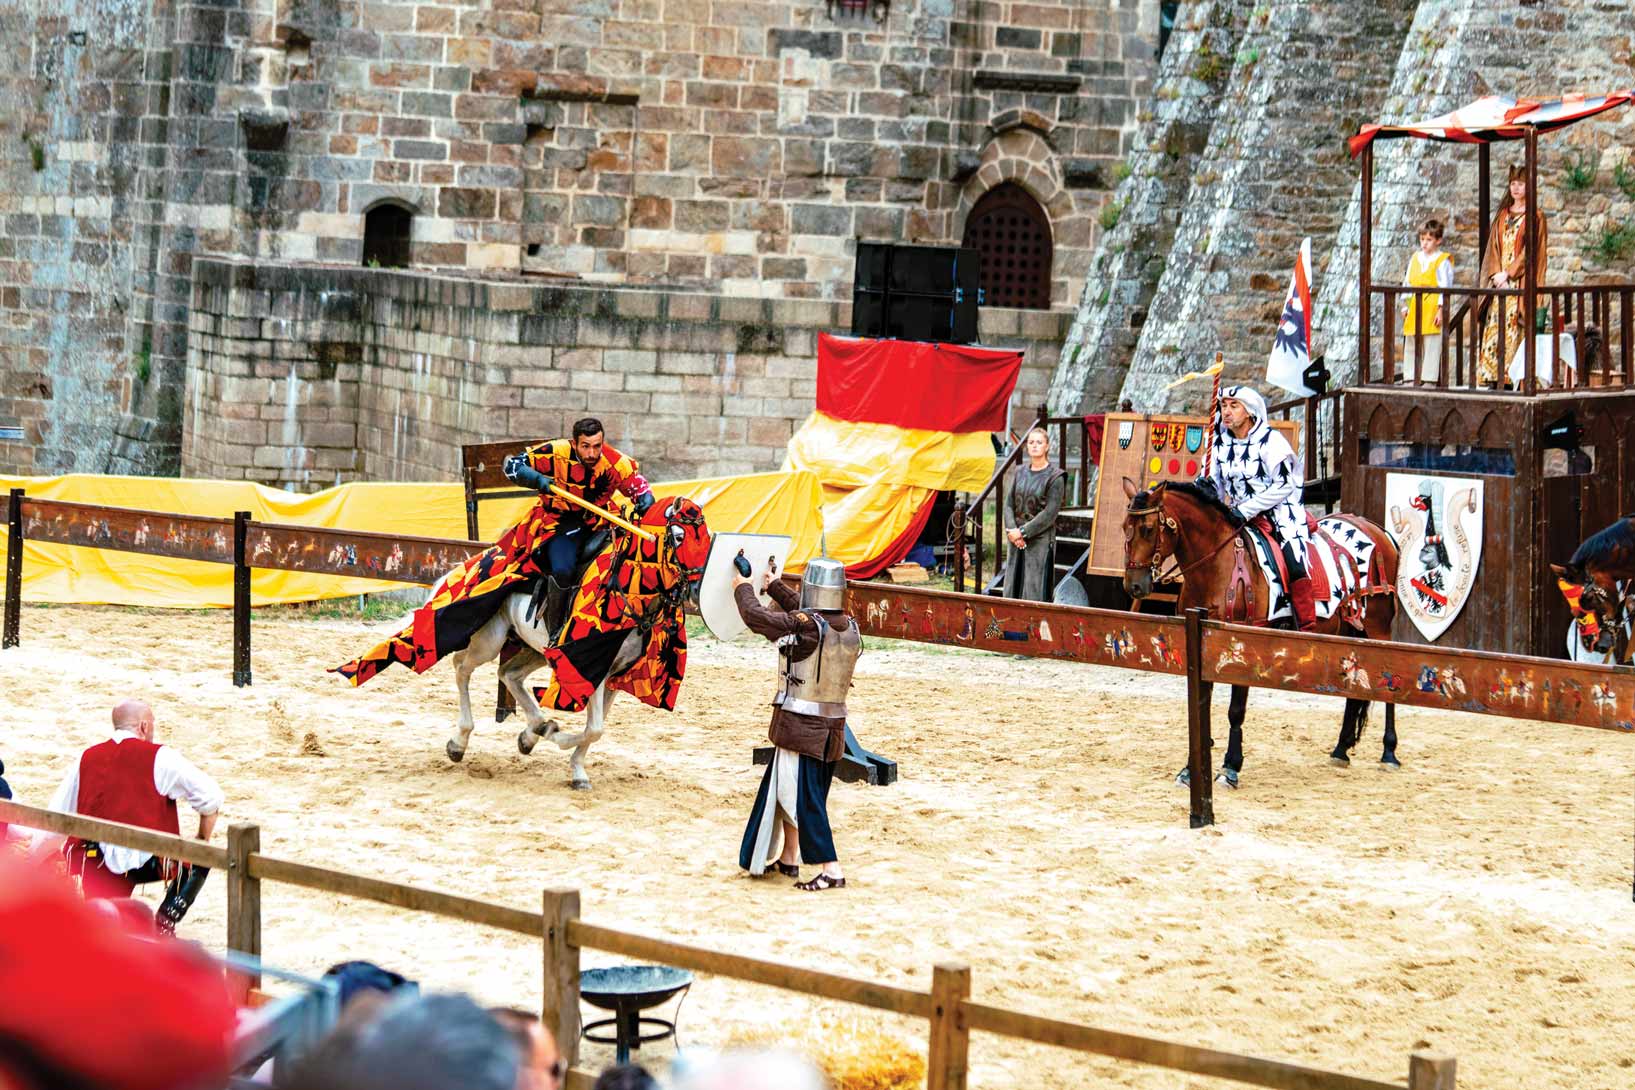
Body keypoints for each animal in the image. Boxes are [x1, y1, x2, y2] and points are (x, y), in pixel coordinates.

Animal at [442, 497, 711, 789]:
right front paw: (562, 746)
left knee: (508, 673)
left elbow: (595, 728)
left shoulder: (614, 674)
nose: (698, 590)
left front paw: (573, 764)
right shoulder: (591, 668)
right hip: (490, 640)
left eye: (708, 539)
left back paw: (532, 733)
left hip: (537, 650)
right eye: (679, 537)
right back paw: (459, 742)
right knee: (461, 668)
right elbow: (594, 729)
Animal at [1119, 479, 1401, 785]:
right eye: (1124, 527)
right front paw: (1190, 769)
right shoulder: (1201, 647)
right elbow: (1201, 703)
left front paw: (1231, 766)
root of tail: (1377, 530)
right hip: (1348, 633)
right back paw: (1341, 748)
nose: (1134, 585)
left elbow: (1235, 711)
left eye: (1148, 529)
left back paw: (1389, 752)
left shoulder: (1242, 646)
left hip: (1378, 630)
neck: (1217, 566)